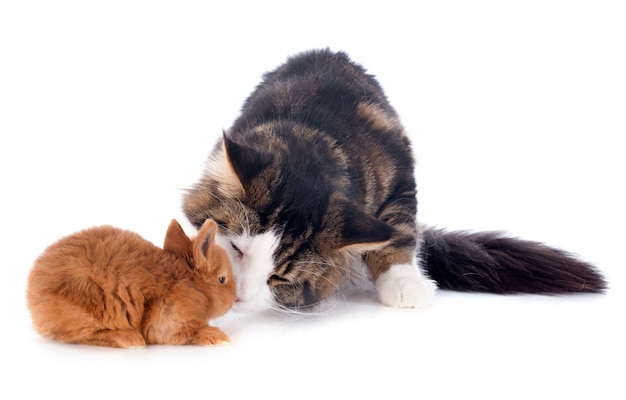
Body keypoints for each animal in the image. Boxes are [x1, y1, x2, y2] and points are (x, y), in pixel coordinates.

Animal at [25, 217, 236, 348]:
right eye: (222, 279)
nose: (235, 300)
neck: (189, 282)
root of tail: (33, 294)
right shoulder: (168, 318)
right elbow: (187, 331)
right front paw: (218, 337)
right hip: (89, 307)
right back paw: (130, 340)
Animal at [182, 50, 604, 310]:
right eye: (237, 250)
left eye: (277, 277)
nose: (238, 297)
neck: (312, 143)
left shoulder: (400, 173)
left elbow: (398, 230)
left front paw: (403, 282)